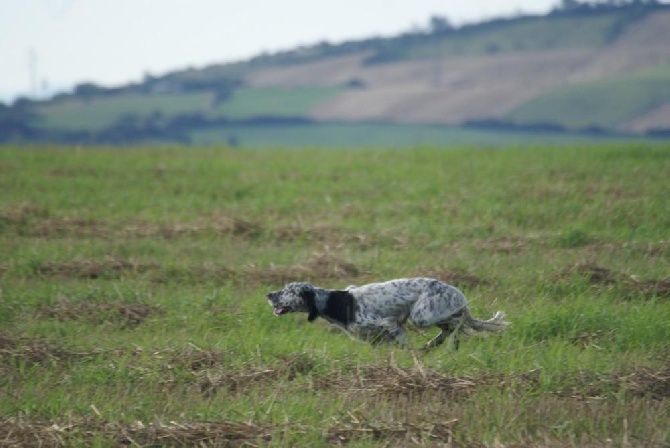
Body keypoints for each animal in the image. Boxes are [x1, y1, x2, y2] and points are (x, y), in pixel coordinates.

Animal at [266, 276, 510, 350]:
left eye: (288, 291)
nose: (269, 294)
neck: (331, 302)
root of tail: (456, 292)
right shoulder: (376, 339)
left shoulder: (391, 324)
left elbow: (405, 348)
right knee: (449, 327)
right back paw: (434, 344)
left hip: (421, 316)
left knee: (458, 322)